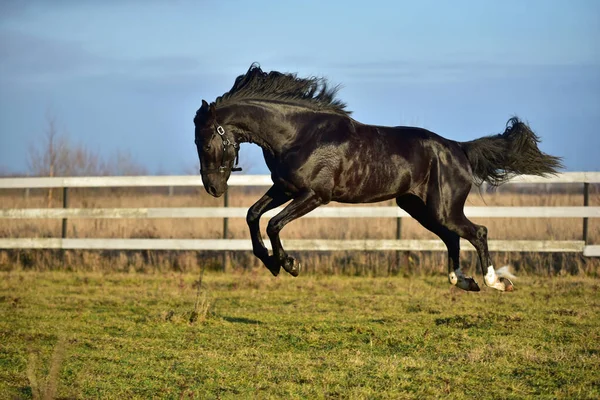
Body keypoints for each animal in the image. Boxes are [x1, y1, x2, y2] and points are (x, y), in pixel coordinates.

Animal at [193, 64, 564, 292]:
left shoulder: (315, 195)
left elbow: (272, 224)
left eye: (207, 142)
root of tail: (458, 148)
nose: (213, 188)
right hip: (420, 209)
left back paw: (494, 282)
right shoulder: (285, 188)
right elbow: (252, 215)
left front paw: (289, 264)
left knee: (478, 232)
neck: (298, 134)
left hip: (442, 209)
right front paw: (270, 262)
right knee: (453, 238)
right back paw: (462, 281)